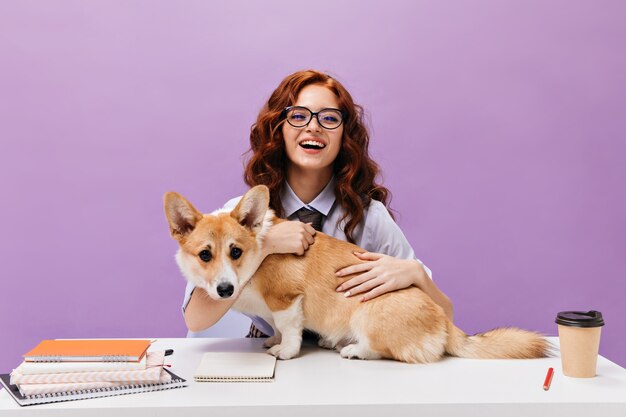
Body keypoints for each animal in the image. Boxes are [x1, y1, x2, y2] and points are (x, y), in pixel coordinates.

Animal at [163, 184, 548, 360]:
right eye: (205, 254)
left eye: (236, 252)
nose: (225, 291)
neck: (259, 255)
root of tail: (445, 322)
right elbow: (276, 327)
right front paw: (271, 340)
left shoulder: (286, 300)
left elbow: (290, 330)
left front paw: (284, 351)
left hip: (367, 313)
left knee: (386, 350)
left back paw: (353, 350)